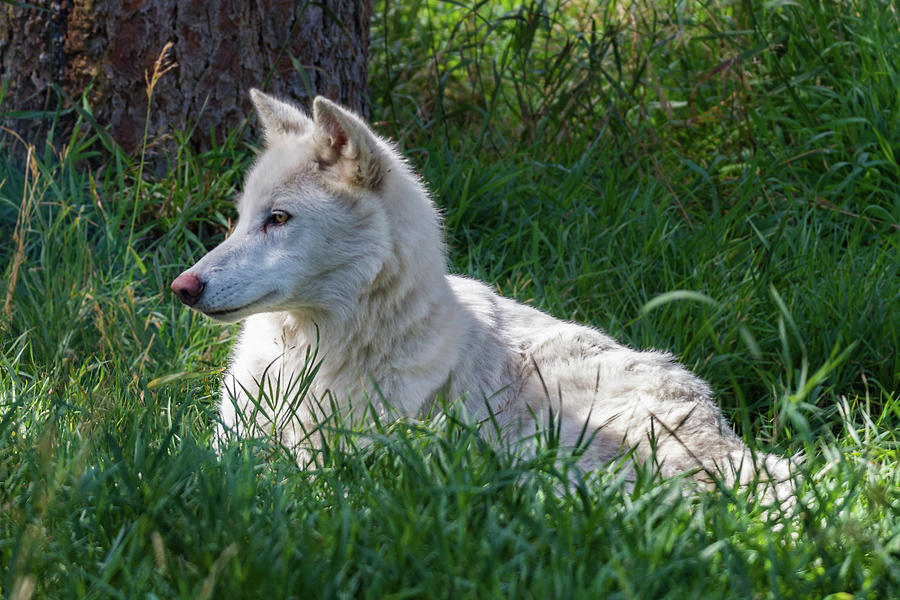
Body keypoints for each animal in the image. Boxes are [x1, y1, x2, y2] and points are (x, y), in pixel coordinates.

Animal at [172, 89, 792, 502]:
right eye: (240, 219)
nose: (182, 287)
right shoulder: (227, 444)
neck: (309, 356)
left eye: (278, 219)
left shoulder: (333, 457)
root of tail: (731, 444)